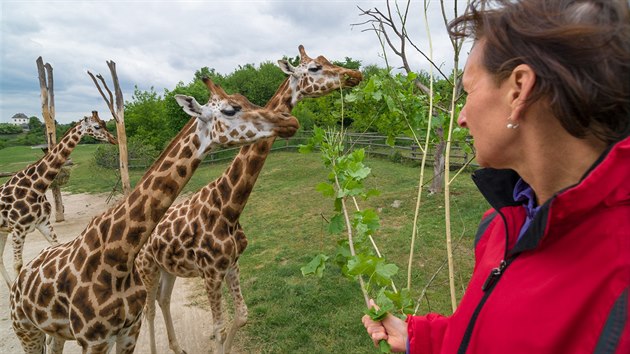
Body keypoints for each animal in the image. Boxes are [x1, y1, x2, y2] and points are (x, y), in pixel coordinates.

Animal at [0, 112, 118, 290]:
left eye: (105, 123)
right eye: (97, 126)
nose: (114, 139)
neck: (37, 186)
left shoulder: (43, 223)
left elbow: (57, 248)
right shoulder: (18, 229)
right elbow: (18, 264)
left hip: (2, 231)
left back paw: (8, 286)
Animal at [137, 44, 366, 354]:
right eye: (315, 68)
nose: (355, 74)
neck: (228, 205)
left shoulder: (232, 263)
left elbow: (242, 315)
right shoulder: (210, 272)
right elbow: (218, 328)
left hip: (167, 268)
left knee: (163, 300)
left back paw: (177, 347)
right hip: (146, 268)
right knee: (148, 309)